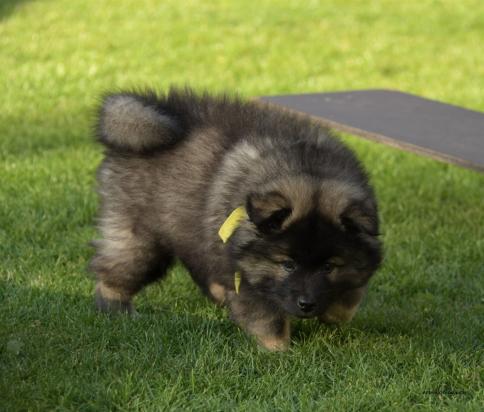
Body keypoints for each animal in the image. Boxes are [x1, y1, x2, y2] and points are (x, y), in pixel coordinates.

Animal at [91, 87, 382, 350]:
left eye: (329, 267)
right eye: (287, 265)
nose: (306, 304)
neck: (308, 169)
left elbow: (348, 300)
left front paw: (333, 313)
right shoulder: (246, 273)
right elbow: (267, 319)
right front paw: (279, 354)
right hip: (142, 238)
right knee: (116, 271)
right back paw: (119, 311)